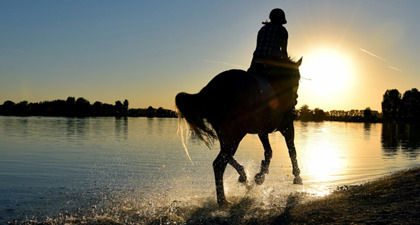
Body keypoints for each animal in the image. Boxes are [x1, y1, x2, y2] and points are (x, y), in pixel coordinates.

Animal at [176, 57, 304, 206]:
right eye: (297, 77)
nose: (295, 99)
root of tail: (208, 91)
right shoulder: (287, 127)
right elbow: (291, 150)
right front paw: (297, 176)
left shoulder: (262, 131)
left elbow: (269, 152)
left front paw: (259, 176)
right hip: (237, 133)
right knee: (219, 163)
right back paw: (223, 200)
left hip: (227, 134)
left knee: (225, 157)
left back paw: (242, 177)